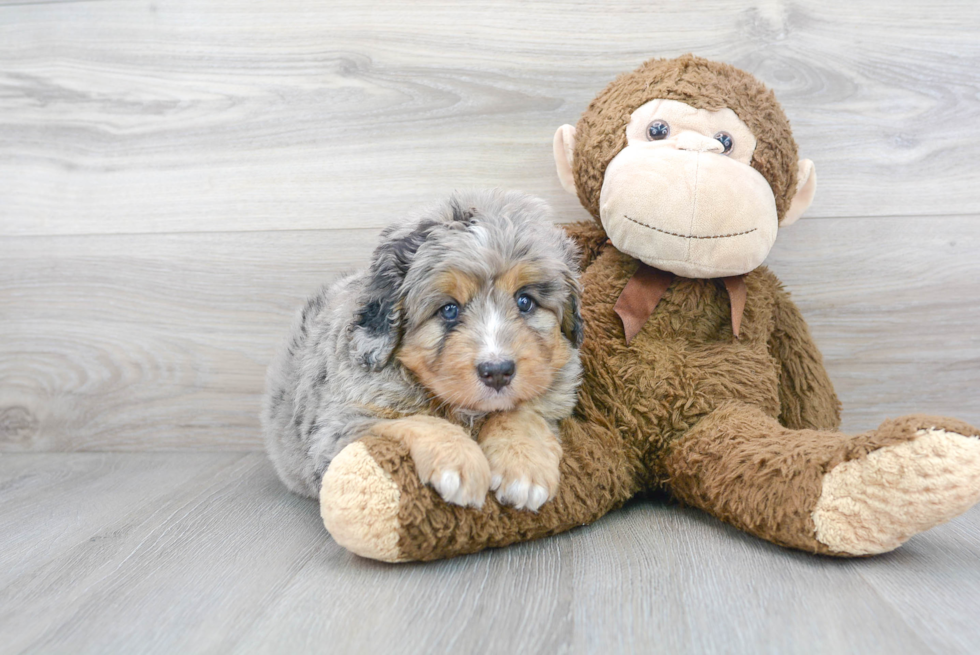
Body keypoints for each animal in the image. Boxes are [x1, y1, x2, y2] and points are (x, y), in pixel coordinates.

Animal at [262, 188, 580, 512]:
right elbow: (415, 419)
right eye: (448, 310)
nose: (498, 372)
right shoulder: (335, 428)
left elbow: (519, 412)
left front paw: (524, 464)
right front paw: (458, 460)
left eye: (525, 301)